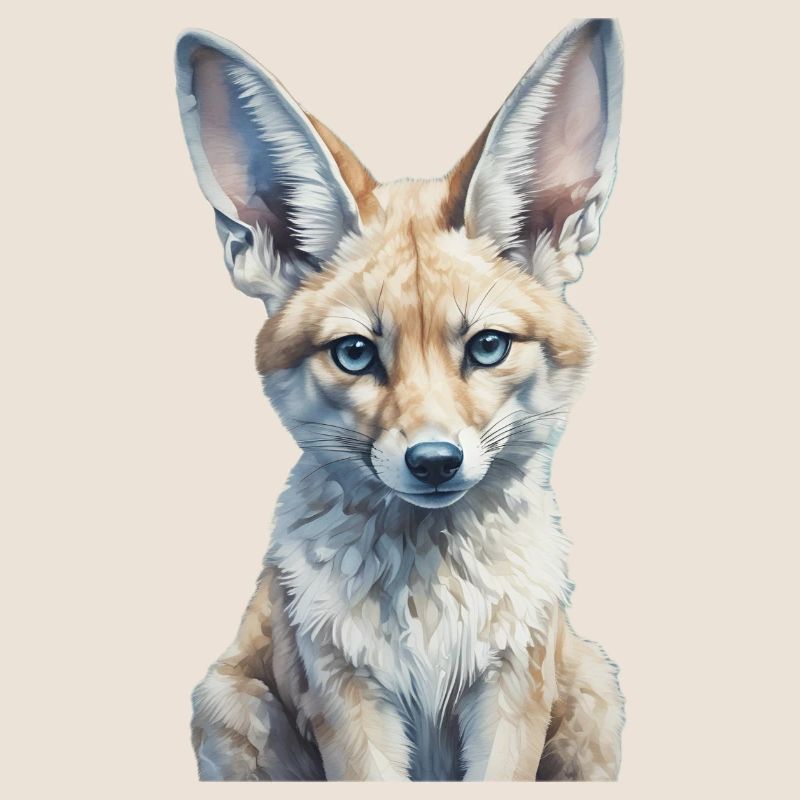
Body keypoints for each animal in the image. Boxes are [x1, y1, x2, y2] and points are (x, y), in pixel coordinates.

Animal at [175, 18, 625, 781]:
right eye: (356, 353)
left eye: (487, 346)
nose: (435, 462)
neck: (431, 608)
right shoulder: (347, 698)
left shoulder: (512, 689)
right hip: (226, 704)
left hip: (596, 694)